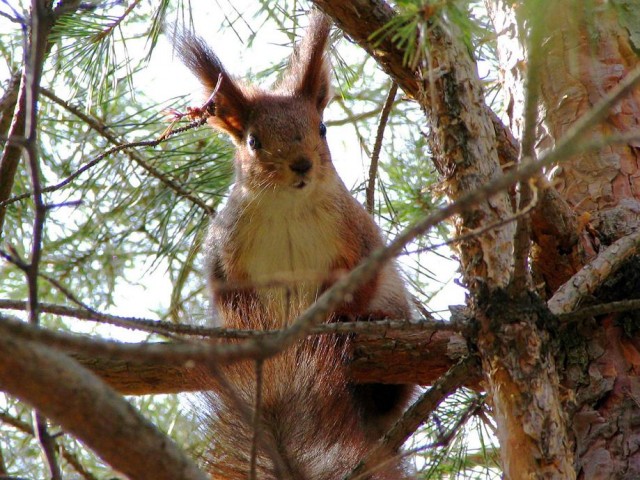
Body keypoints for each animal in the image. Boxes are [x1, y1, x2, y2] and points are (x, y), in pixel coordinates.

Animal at [176, 11, 416, 480]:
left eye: (321, 128)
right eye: (253, 141)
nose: (301, 165)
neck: (288, 206)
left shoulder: (358, 239)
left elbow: (359, 283)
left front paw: (344, 319)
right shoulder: (224, 258)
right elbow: (232, 299)